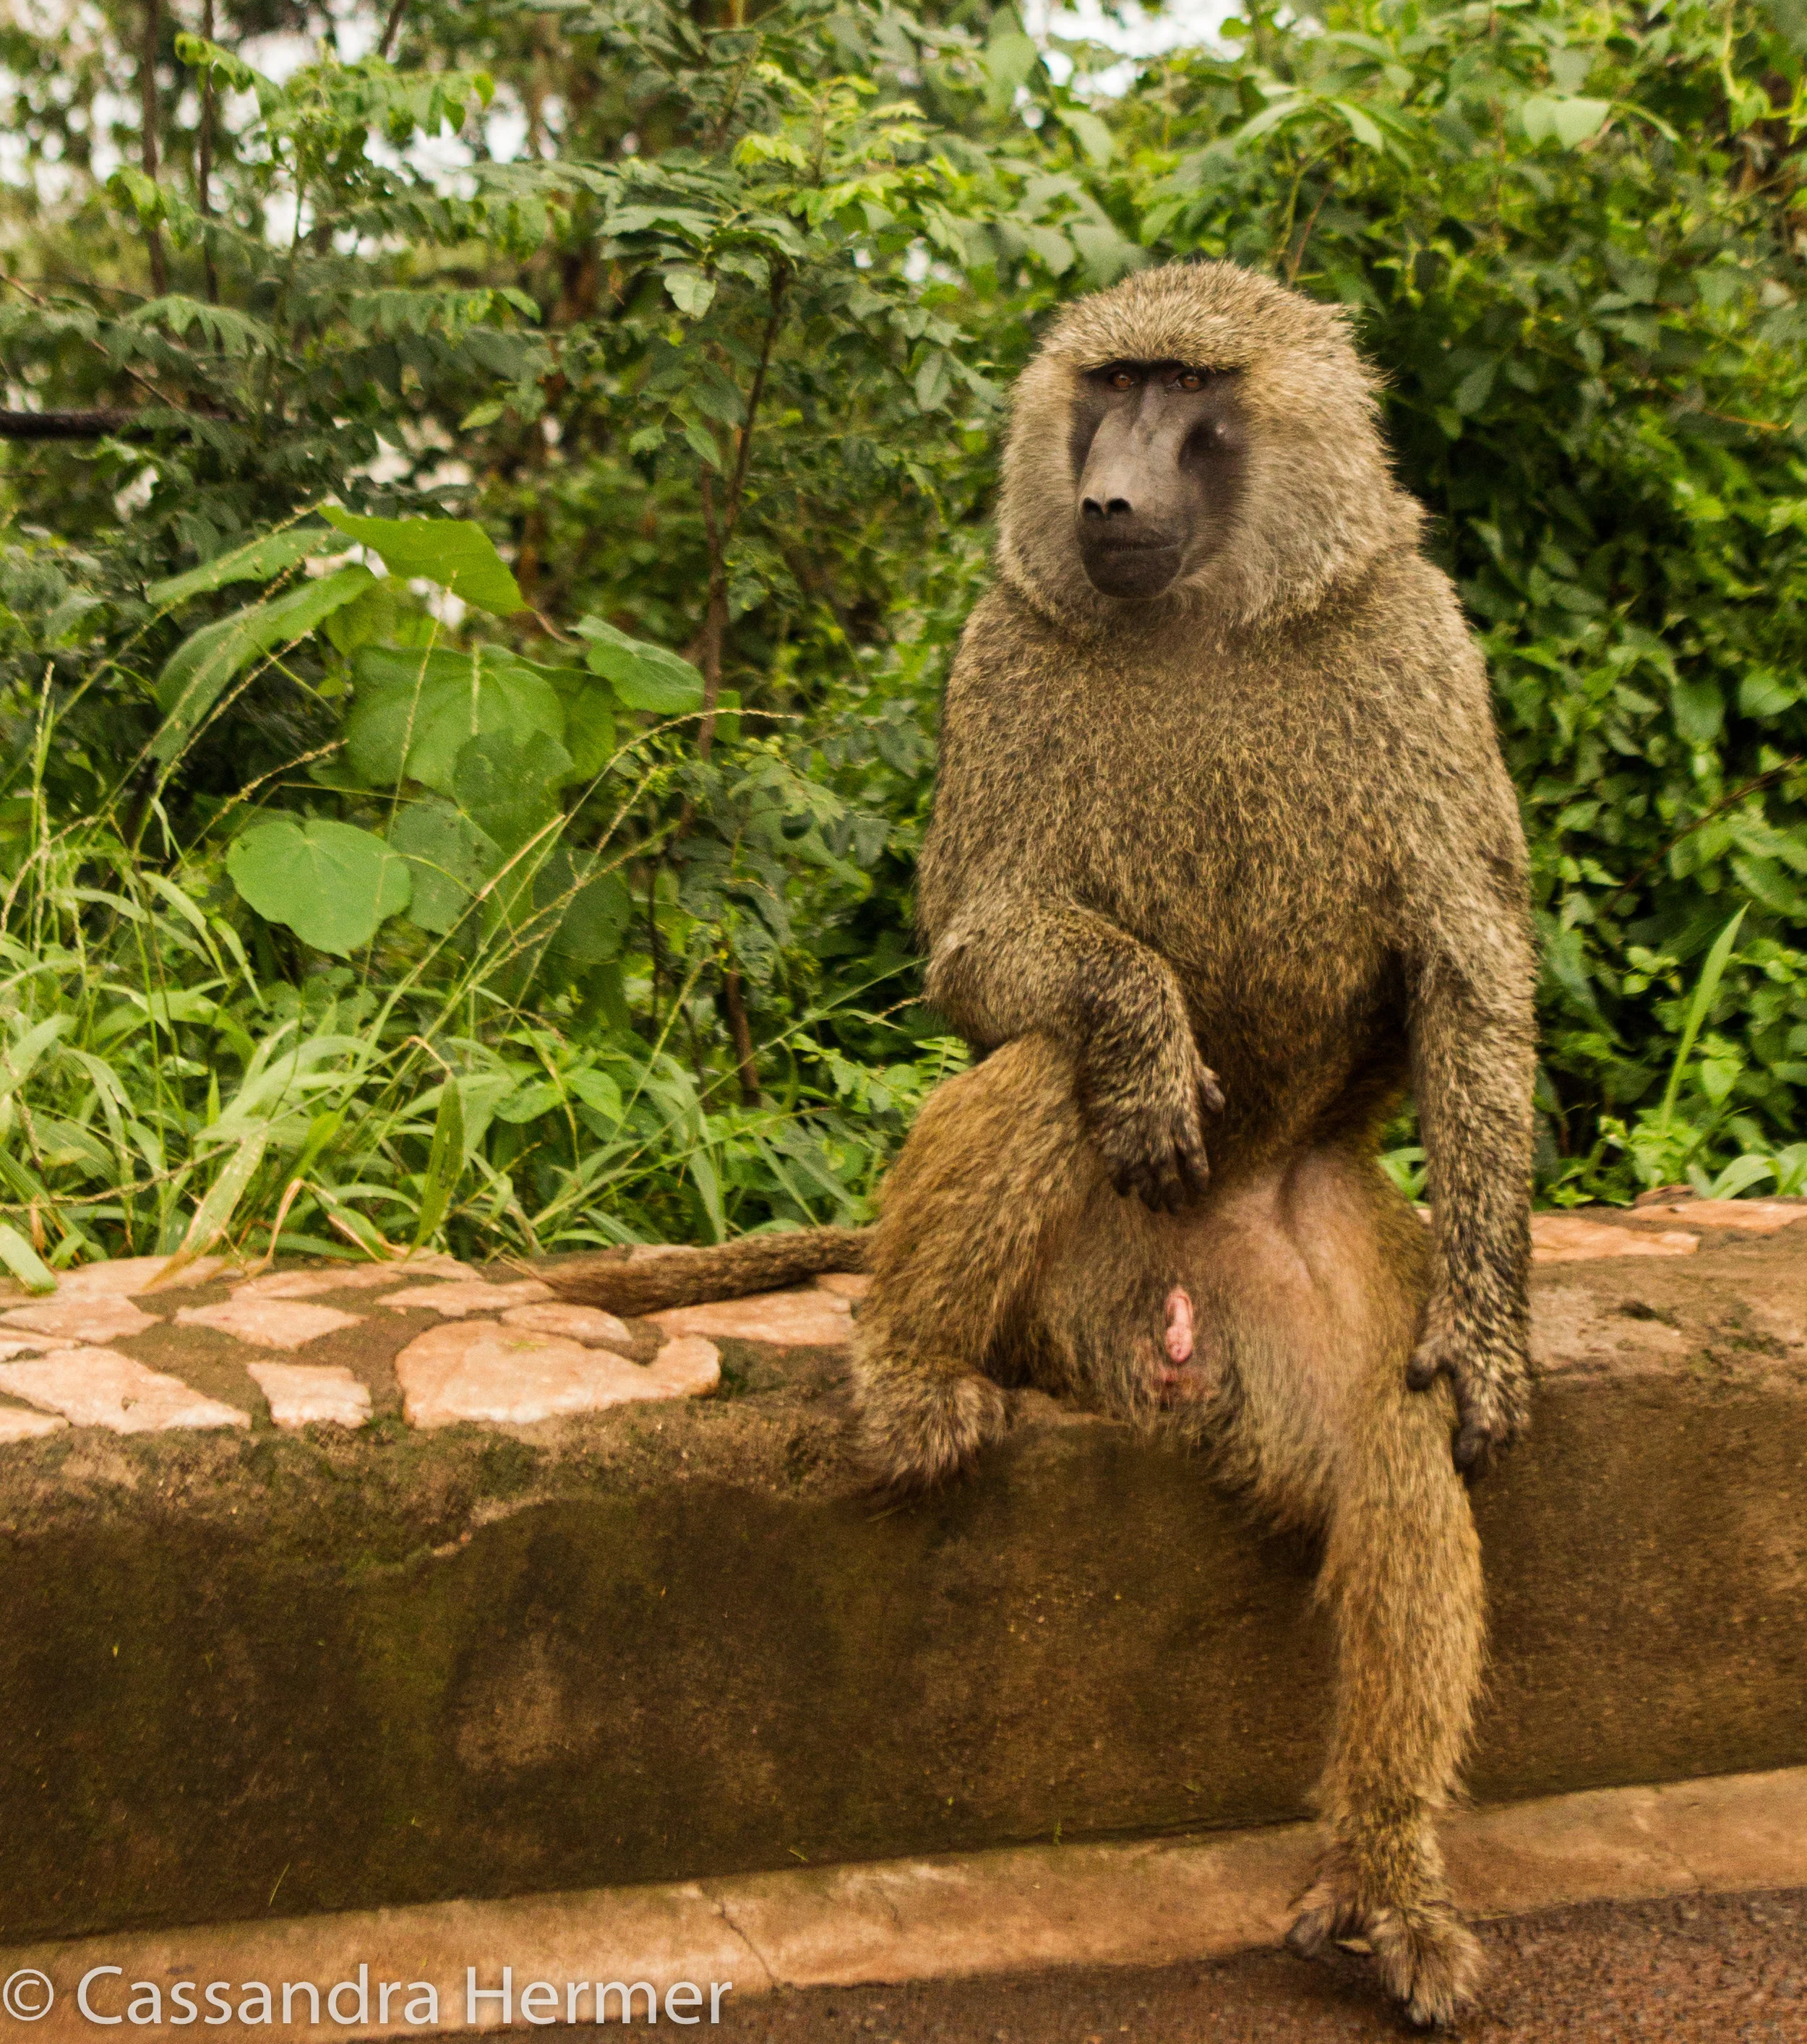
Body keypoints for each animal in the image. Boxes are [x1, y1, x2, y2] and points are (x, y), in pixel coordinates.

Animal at [548, 261, 1536, 2028]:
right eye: (1107, 384)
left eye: (1186, 390)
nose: (1105, 497)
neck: (1209, 615)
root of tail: (1173, 1330)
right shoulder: (1001, 650)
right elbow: (981, 949)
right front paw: (1143, 1031)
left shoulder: (1417, 644)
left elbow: (1468, 962)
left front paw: (1487, 1339)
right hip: (1060, 1296)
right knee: (1035, 1071)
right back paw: (912, 1371)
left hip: (1307, 1280)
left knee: (1391, 1450)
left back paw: (1386, 1879)